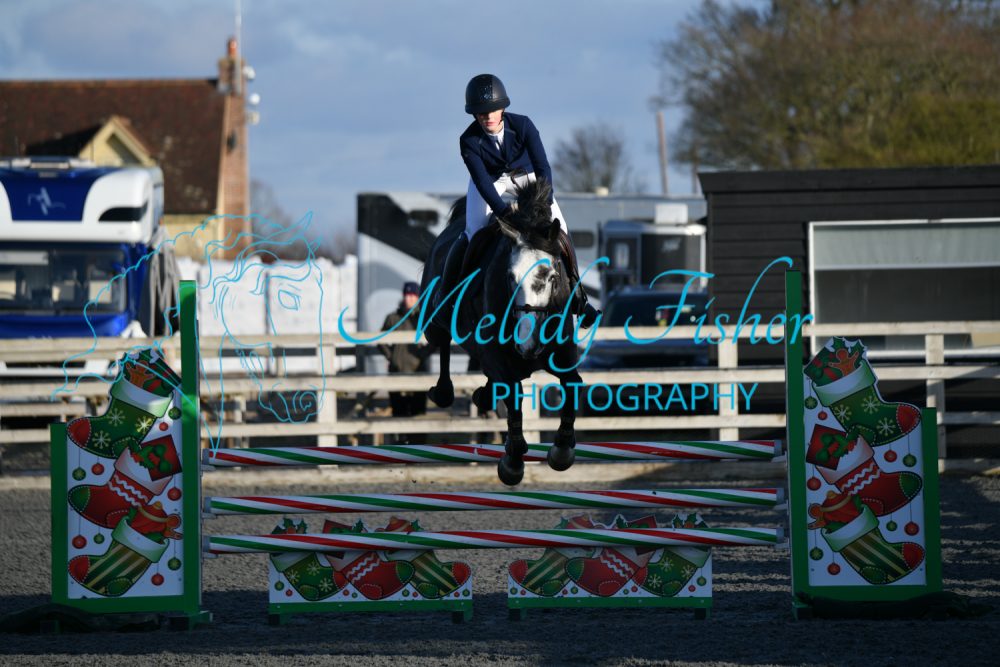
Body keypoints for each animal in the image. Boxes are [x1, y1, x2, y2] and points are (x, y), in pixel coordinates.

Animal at [419, 179, 582, 486]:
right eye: (510, 277)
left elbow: (573, 386)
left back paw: (483, 394)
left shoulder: (563, 356)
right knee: (443, 344)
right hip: (433, 325)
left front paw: (562, 450)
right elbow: (514, 401)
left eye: (552, 277)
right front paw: (513, 463)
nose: (527, 345)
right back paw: (445, 391)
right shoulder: (499, 359)